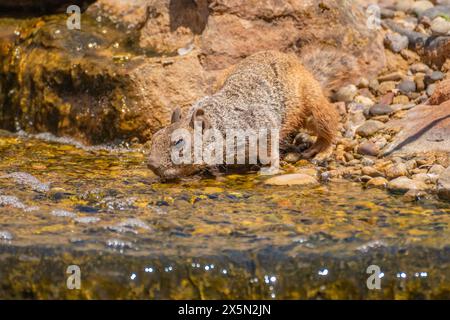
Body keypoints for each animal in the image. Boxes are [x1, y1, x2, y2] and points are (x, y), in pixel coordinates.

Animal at [148, 51, 338, 179]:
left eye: (179, 141)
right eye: (155, 137)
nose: (150, 164)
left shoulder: (263, 127)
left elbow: (272, 149)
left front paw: (271, 168)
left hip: (314, 102)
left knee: (330, 127)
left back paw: (320, 150)